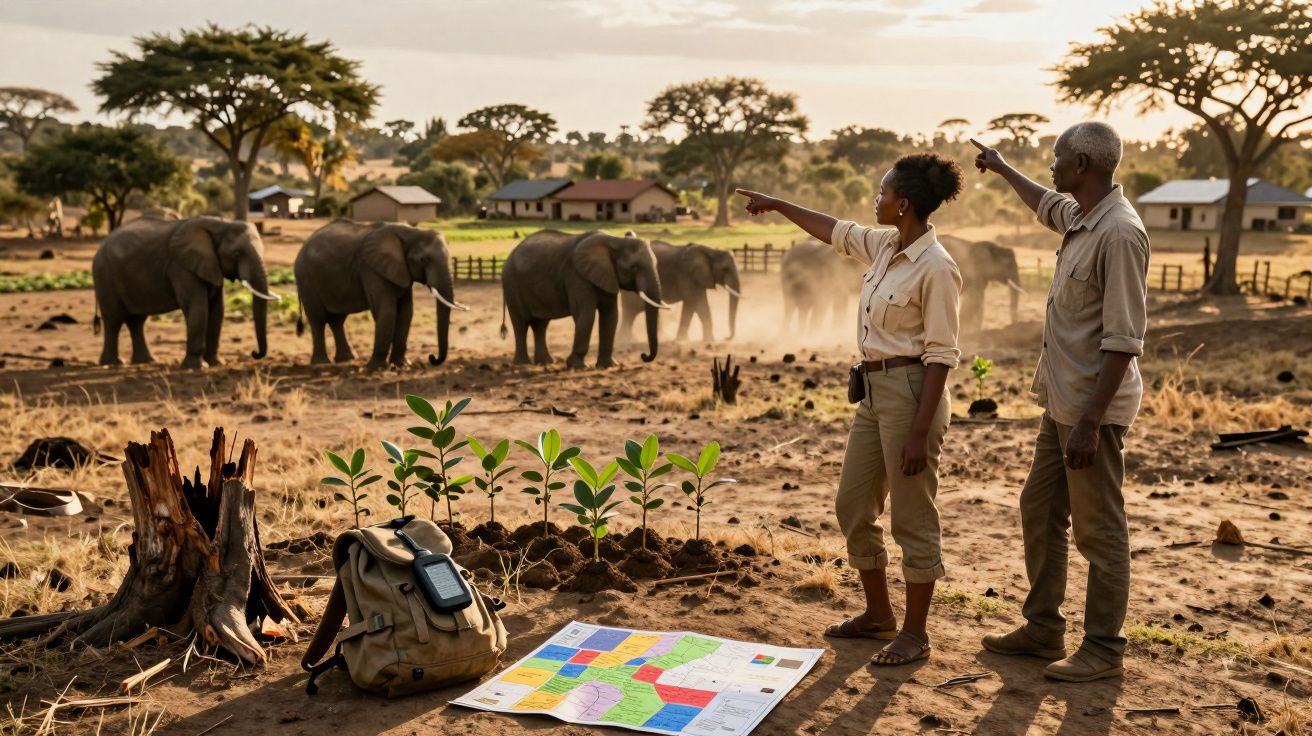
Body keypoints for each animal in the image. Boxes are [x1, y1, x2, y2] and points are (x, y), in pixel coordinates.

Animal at [92, 215, 276, 368]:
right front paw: (197, 367)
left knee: (136, 321)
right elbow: (198, 306)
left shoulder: (210, 265)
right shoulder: (181, 266)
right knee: (114, 320)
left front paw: (216, 364)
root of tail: (101, 245)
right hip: (105, 276)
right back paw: (114, 363)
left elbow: (217, 311)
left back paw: (146, 361)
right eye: (237, 253)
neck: (221, 223)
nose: (255, 353)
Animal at [294, 219, 465, 370]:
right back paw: (321, 363)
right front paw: (375, 369)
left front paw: (403, 366)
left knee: (337, 320)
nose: (432, 357)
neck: (411, 232)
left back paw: (348, 359)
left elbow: (406, 312)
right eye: (424, 259)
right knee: (318, 320)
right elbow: (387, 311)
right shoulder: (371, 268)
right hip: (306, 279)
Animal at [500, 230, 668, 369]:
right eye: (634, 267)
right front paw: (576, 366)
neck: (614, 240)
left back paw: (547, 362)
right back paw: (523, 364)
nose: (643, 355)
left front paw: (609, 366)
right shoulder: (577, 276)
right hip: (512, 284)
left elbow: (611, 315)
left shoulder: (608, 276)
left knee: (540, 325)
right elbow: (586, 315)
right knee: (521, 323)